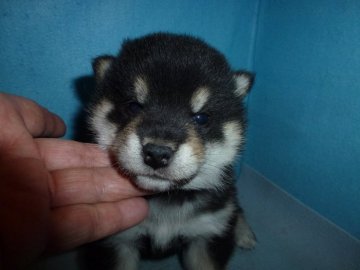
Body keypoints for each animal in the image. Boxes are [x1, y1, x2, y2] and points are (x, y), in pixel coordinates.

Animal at [83, 33, 255, 270]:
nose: (156, 154)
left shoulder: (207, 233)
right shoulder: (116, 241)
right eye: (133, 106)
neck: (165, 200)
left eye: (201, 118)